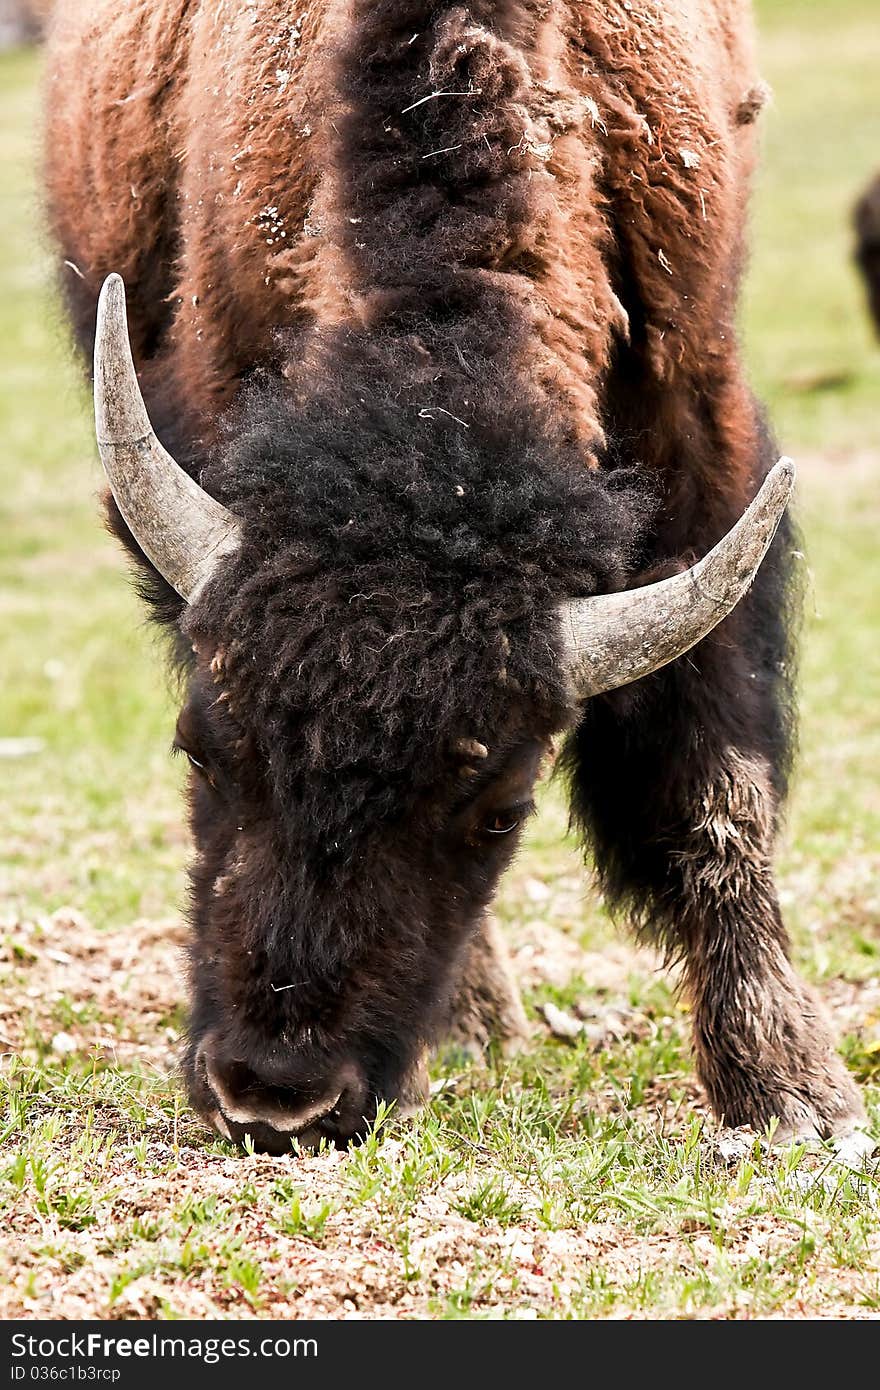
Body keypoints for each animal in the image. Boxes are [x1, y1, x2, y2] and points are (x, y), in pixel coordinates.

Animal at [41, 0, 856, 1150]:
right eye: (199, 749)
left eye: (500, 809)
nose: (275, 1094)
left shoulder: (699, 443)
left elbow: (711, 784)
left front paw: (792, 1093)